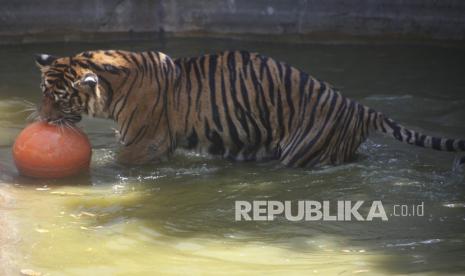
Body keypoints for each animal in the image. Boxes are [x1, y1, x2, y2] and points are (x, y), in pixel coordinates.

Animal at [33, 50, 464, 168]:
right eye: (43, 93)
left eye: (60, 97)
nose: (43, 118)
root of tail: (358, 107)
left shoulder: (146, 142)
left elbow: (119, 163)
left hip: (303, 150)